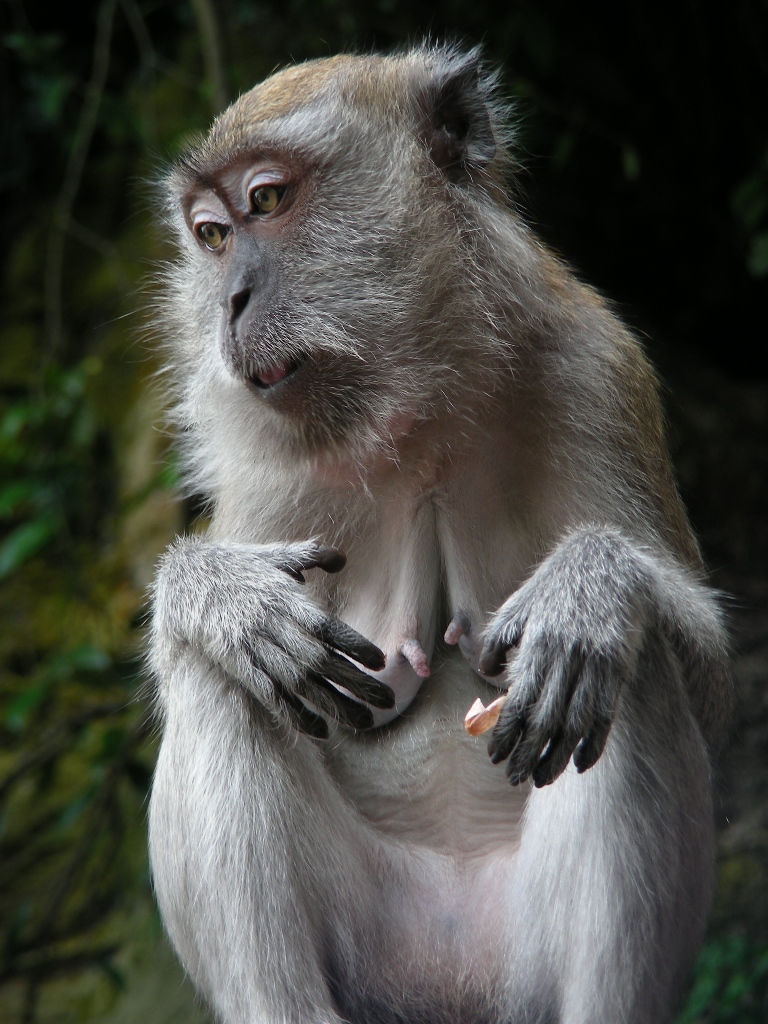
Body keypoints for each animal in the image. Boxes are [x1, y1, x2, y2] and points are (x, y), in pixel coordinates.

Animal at [148, 46, 733, 1024]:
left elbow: (702, 676)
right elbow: (201, 648)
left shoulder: (595, 371)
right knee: (220, 679)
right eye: (213, 237)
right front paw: (223, 596)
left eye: (266, 201)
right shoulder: (268, 471)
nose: (228, 301)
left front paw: (595, 586)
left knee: (629, 670)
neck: (413, 408)